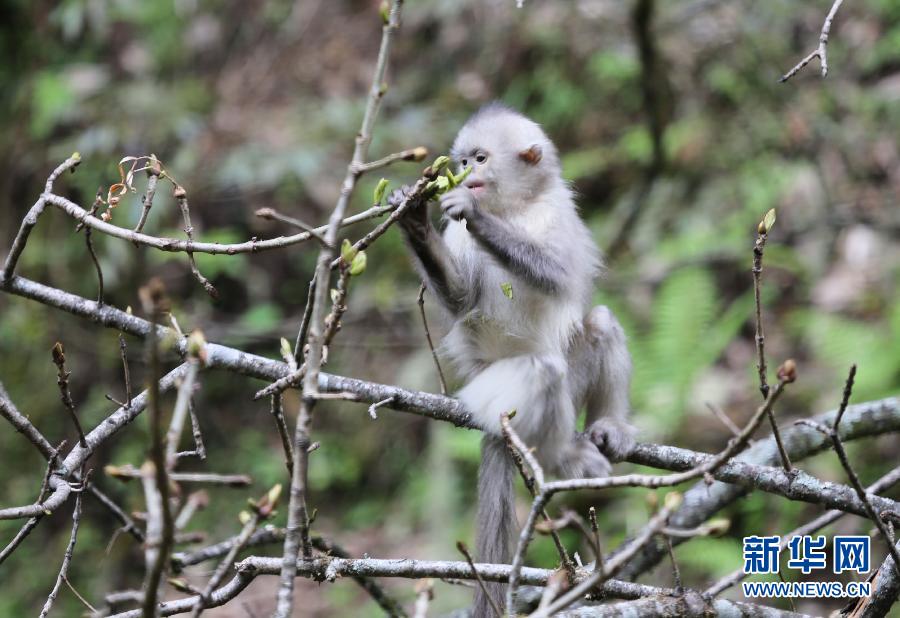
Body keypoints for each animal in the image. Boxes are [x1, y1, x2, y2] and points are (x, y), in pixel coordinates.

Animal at [392, 102, 632, 612]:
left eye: (480, 159)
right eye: (462, 161)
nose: (466, 174)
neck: (514, 209)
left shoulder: (559, 211)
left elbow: (559, 275)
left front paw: (476, 216)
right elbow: (463, 300)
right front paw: (415, 220)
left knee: (598, 323)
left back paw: (606, 429)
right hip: (490, 392)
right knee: (544, 371)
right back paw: (563, 458)